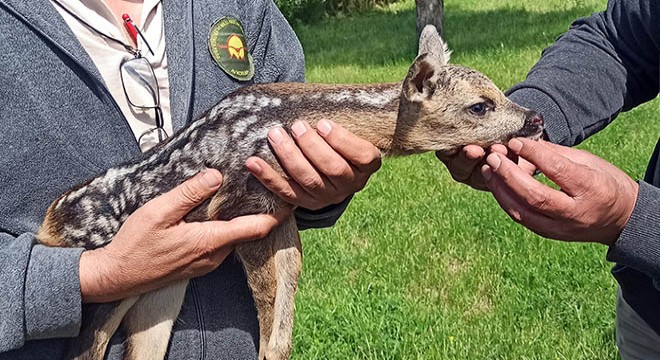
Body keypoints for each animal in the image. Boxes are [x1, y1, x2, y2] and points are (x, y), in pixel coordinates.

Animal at [36, 26, 540, 360]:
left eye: (499, 92)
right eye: (480, 106)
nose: (534, 119)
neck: (298, 112)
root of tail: (49, 224)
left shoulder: (282, 209)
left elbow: (287, 292)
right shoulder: (242, 205)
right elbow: (266, 295)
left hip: (161, 291)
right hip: (106, 283)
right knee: (87, 347)